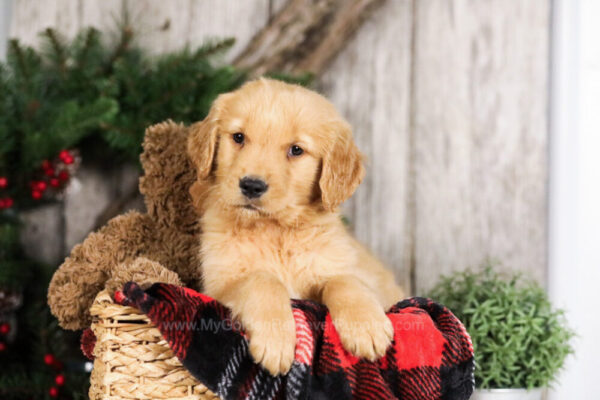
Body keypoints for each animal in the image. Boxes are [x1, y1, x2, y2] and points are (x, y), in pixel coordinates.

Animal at [188, 77, 404, 376]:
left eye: (296, 150)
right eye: (239, 137)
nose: (251, 185)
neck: (276, 229)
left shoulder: (343, 269)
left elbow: (344, 280)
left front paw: (366, 327)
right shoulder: (218, 285)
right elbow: (262, 279)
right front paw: (275, 340)